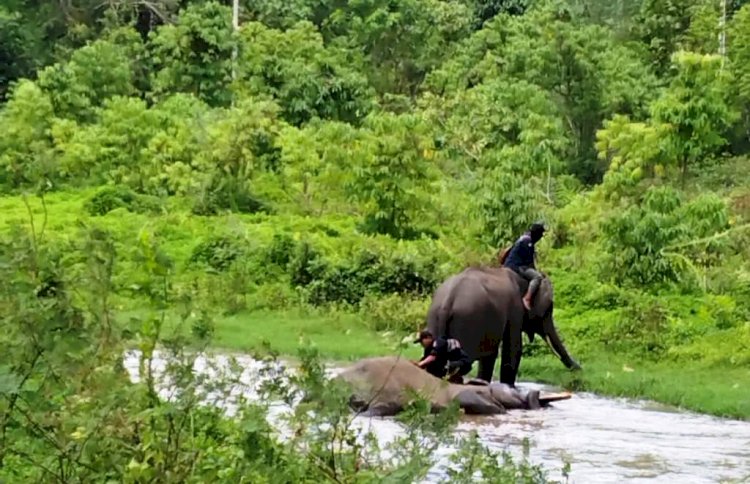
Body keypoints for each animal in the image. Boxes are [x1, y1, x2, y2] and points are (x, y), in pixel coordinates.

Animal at [424, 264, 580, 386]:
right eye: (548, 310)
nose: (579, 369)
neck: (521, 279)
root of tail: (447, 302)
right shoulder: (515, 310)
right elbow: (513, 348)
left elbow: (491, 353)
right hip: (466, 323)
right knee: (463, 363)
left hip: (434, 319)